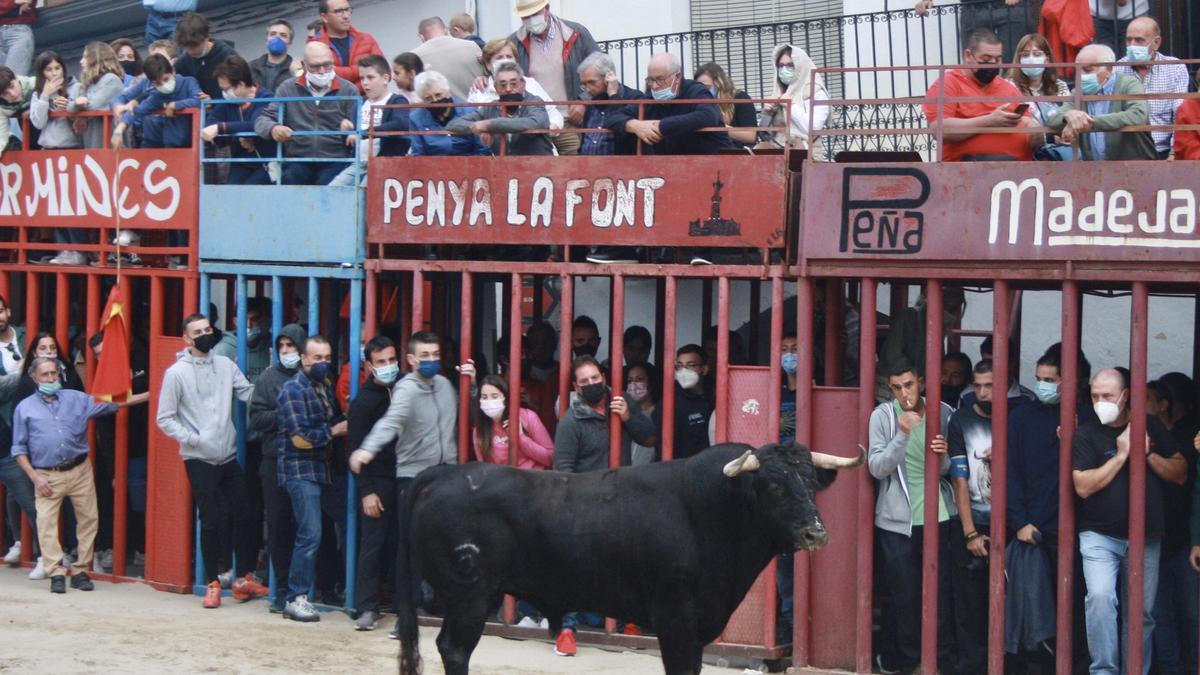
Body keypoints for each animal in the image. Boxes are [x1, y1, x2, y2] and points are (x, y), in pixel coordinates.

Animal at [393, 439, 864, 667]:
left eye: (812, 482)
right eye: (773, 486)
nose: (815, 532)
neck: (713, 509)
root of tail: (442, 475)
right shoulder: (676, 620)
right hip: (469, 596)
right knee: (455, 649)